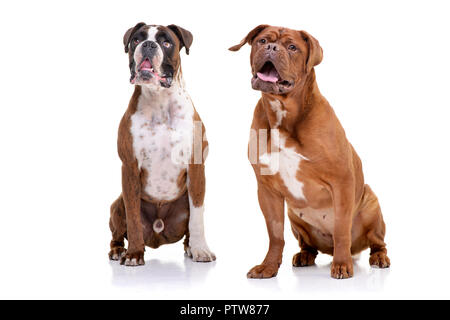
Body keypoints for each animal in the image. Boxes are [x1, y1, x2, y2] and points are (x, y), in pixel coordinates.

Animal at [108, 22, 215, 266]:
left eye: (166, 43)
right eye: (136, 40)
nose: (148, 44)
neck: (159, 100)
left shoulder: (196, 168)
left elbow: (197, 217)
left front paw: (200, 249)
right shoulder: (129, 167)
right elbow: (133, 217)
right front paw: (134, 253)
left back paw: (190, 248)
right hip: (117, 204)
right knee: (117, 233)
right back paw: (119, 250)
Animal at [230, 25, 388, 278]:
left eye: (292, 47)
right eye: (262, 41)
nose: (271, 47)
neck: (282, 111)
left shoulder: (342, 182)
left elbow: (341, 229)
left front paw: (342, 265)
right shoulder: (267, 191)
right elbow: (275, 234)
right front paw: (268, 266)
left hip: (371, 205)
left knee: (376, 242)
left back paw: (378, 257)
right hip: (295, 216)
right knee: (308, 245)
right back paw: (304, 256)